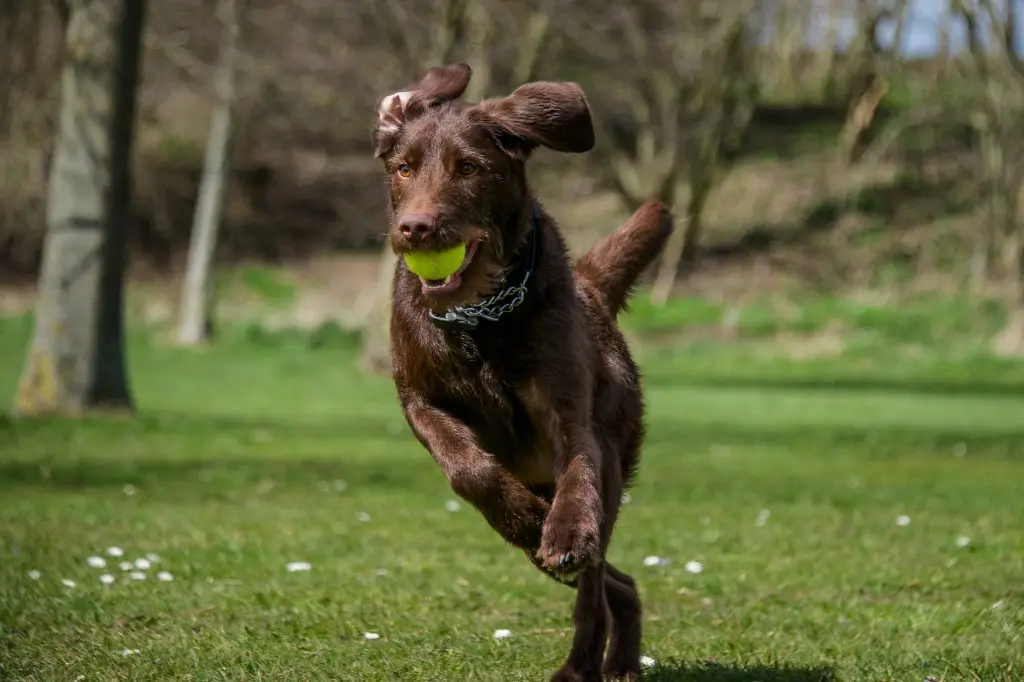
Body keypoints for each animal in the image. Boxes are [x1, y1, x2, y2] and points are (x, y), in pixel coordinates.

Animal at [372, 61, 675, 675]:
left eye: (469, 167)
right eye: (403, 168)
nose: (415, 227)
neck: (479, 318)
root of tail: (593, 292)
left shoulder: (567, 408)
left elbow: (578, 471)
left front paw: (563, 527)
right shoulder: (419, 400)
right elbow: (468, 469)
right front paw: (524, 517)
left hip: (615, 455)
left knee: (594, 583)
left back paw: (584, 663)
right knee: (616, 582)